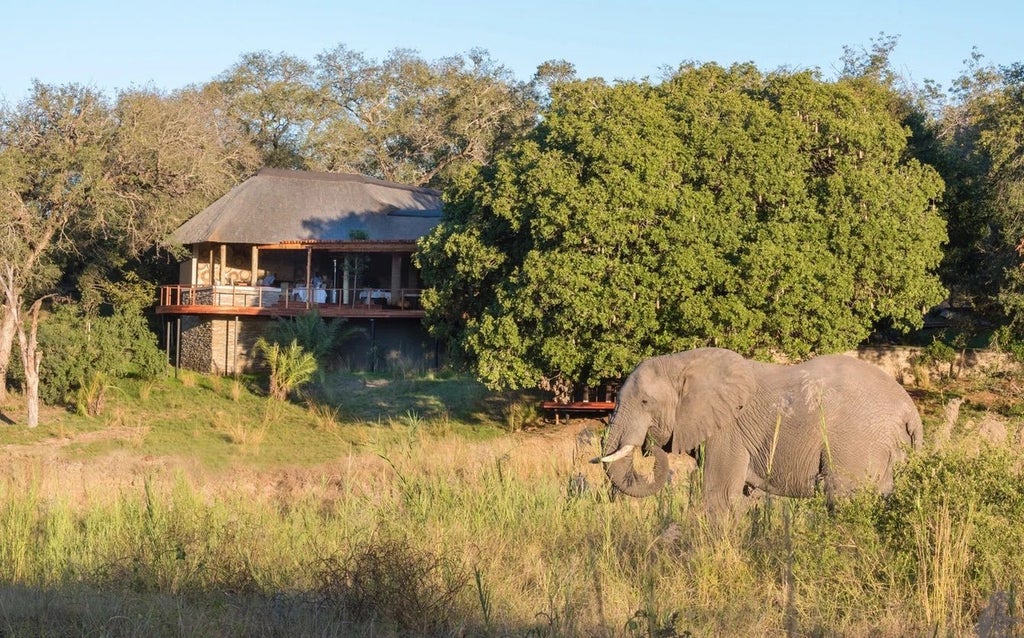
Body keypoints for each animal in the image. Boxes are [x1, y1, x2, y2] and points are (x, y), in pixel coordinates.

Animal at [598, 346, 925, 512]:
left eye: (645, 401)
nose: (649, 445)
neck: (682, 361)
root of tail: (910, 410)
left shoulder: (728, 431)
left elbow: (719, 494)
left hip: (857, 444)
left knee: (843, 497)